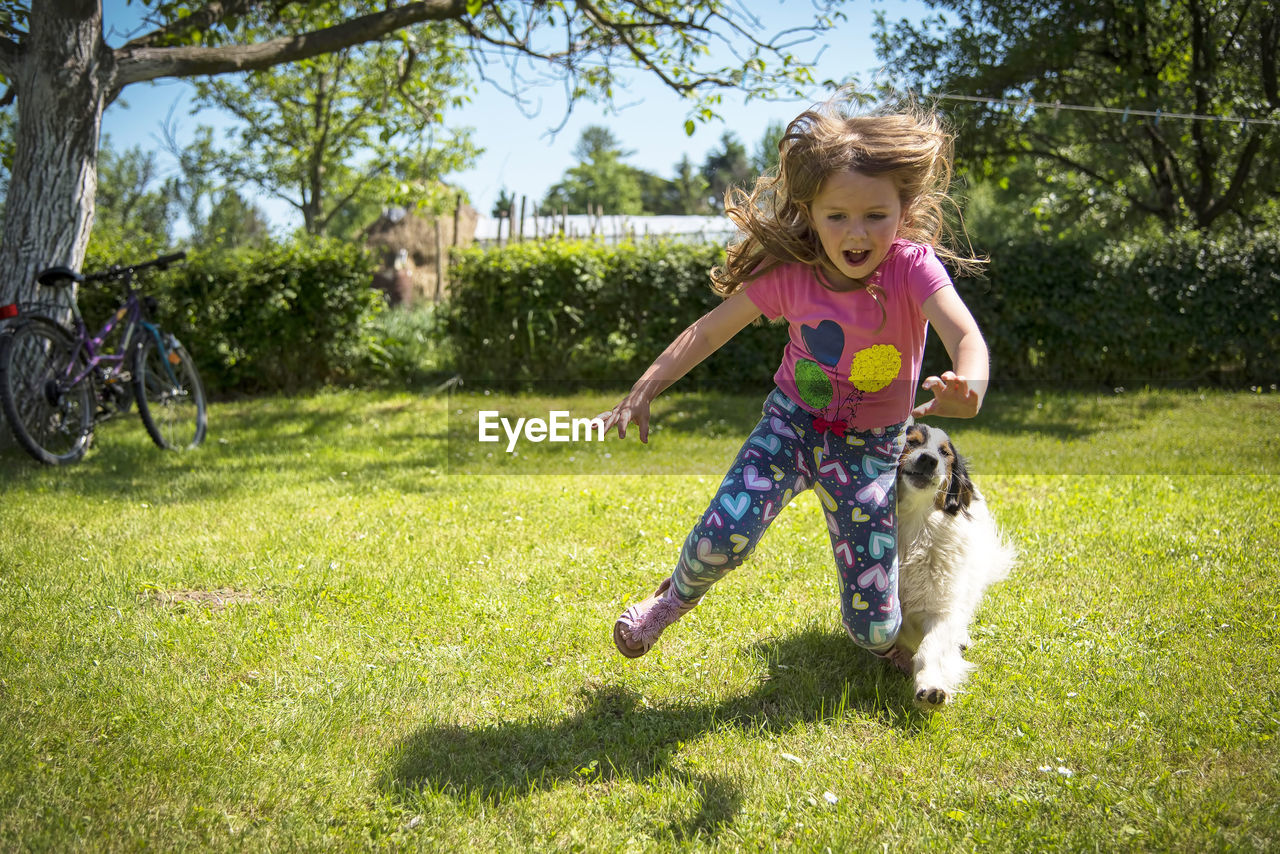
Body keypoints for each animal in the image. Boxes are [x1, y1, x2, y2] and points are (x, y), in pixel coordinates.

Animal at [896, 422, 1013, 706]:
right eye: (911, 442)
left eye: (945, 453)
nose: (929, 460)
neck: (914, 527)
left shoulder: (943, 609)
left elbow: (930, 647)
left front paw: (930, 685)